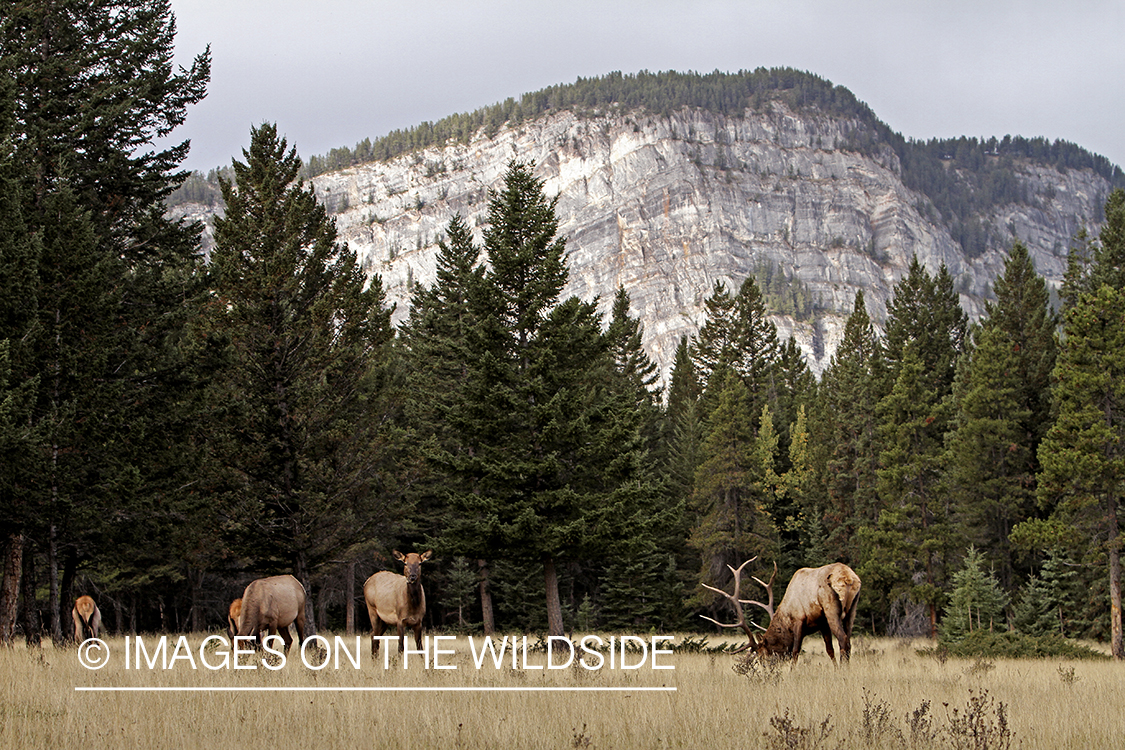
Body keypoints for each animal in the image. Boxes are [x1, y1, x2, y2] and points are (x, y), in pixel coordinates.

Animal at [701, 557, 861, 664]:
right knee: (848, 641)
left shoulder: (799, 619)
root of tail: (848, 578)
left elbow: (795, 650)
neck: (786, 617)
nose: (766, 669)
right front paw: (835, 668)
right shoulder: (822, 623)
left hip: (831, 608)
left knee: (843, 640)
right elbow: (829, 650)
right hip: (852, 609)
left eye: (762, 656)